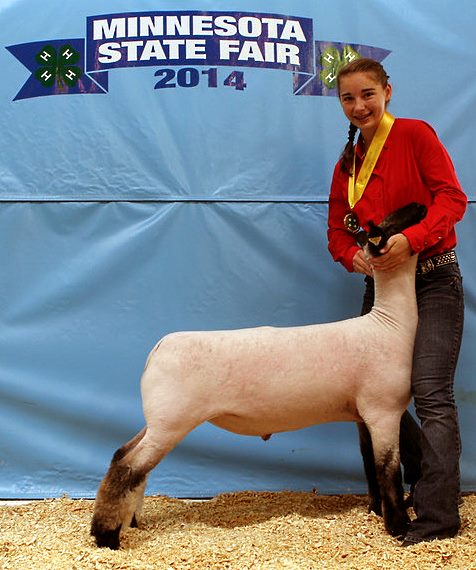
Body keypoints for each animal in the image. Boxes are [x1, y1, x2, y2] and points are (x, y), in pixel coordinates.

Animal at [91, 202, 426, 548]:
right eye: (392, 223)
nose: (420, 205)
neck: (389, 325)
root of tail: (157, 349)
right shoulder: (383, 411)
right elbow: (388, 471)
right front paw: (399, 527)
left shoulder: (362, 416)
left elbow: (370, 467)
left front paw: (376, 511)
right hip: (171, 423)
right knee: (128, 467)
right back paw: (106, 536)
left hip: (159, 420)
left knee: (123, 457)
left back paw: (129, 522)